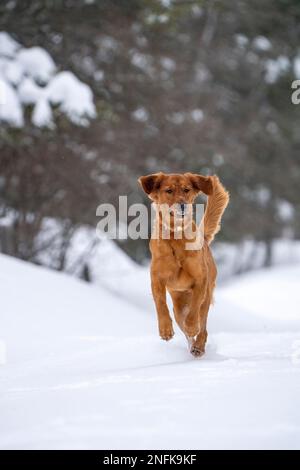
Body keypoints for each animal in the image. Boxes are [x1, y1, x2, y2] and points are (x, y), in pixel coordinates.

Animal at [139, 173, 230, 356]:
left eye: (187, 190)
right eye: (169, 190)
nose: (182, 205)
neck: (176, 237)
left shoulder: (201, 280)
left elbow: (195, 308)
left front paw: (192, 326)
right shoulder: (157, 278)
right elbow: (160, 303)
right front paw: (165, 330)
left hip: (207, 295)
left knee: (203, 325)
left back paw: (198, 346)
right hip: (178, 305)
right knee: (182, 320)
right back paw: (191, 344)